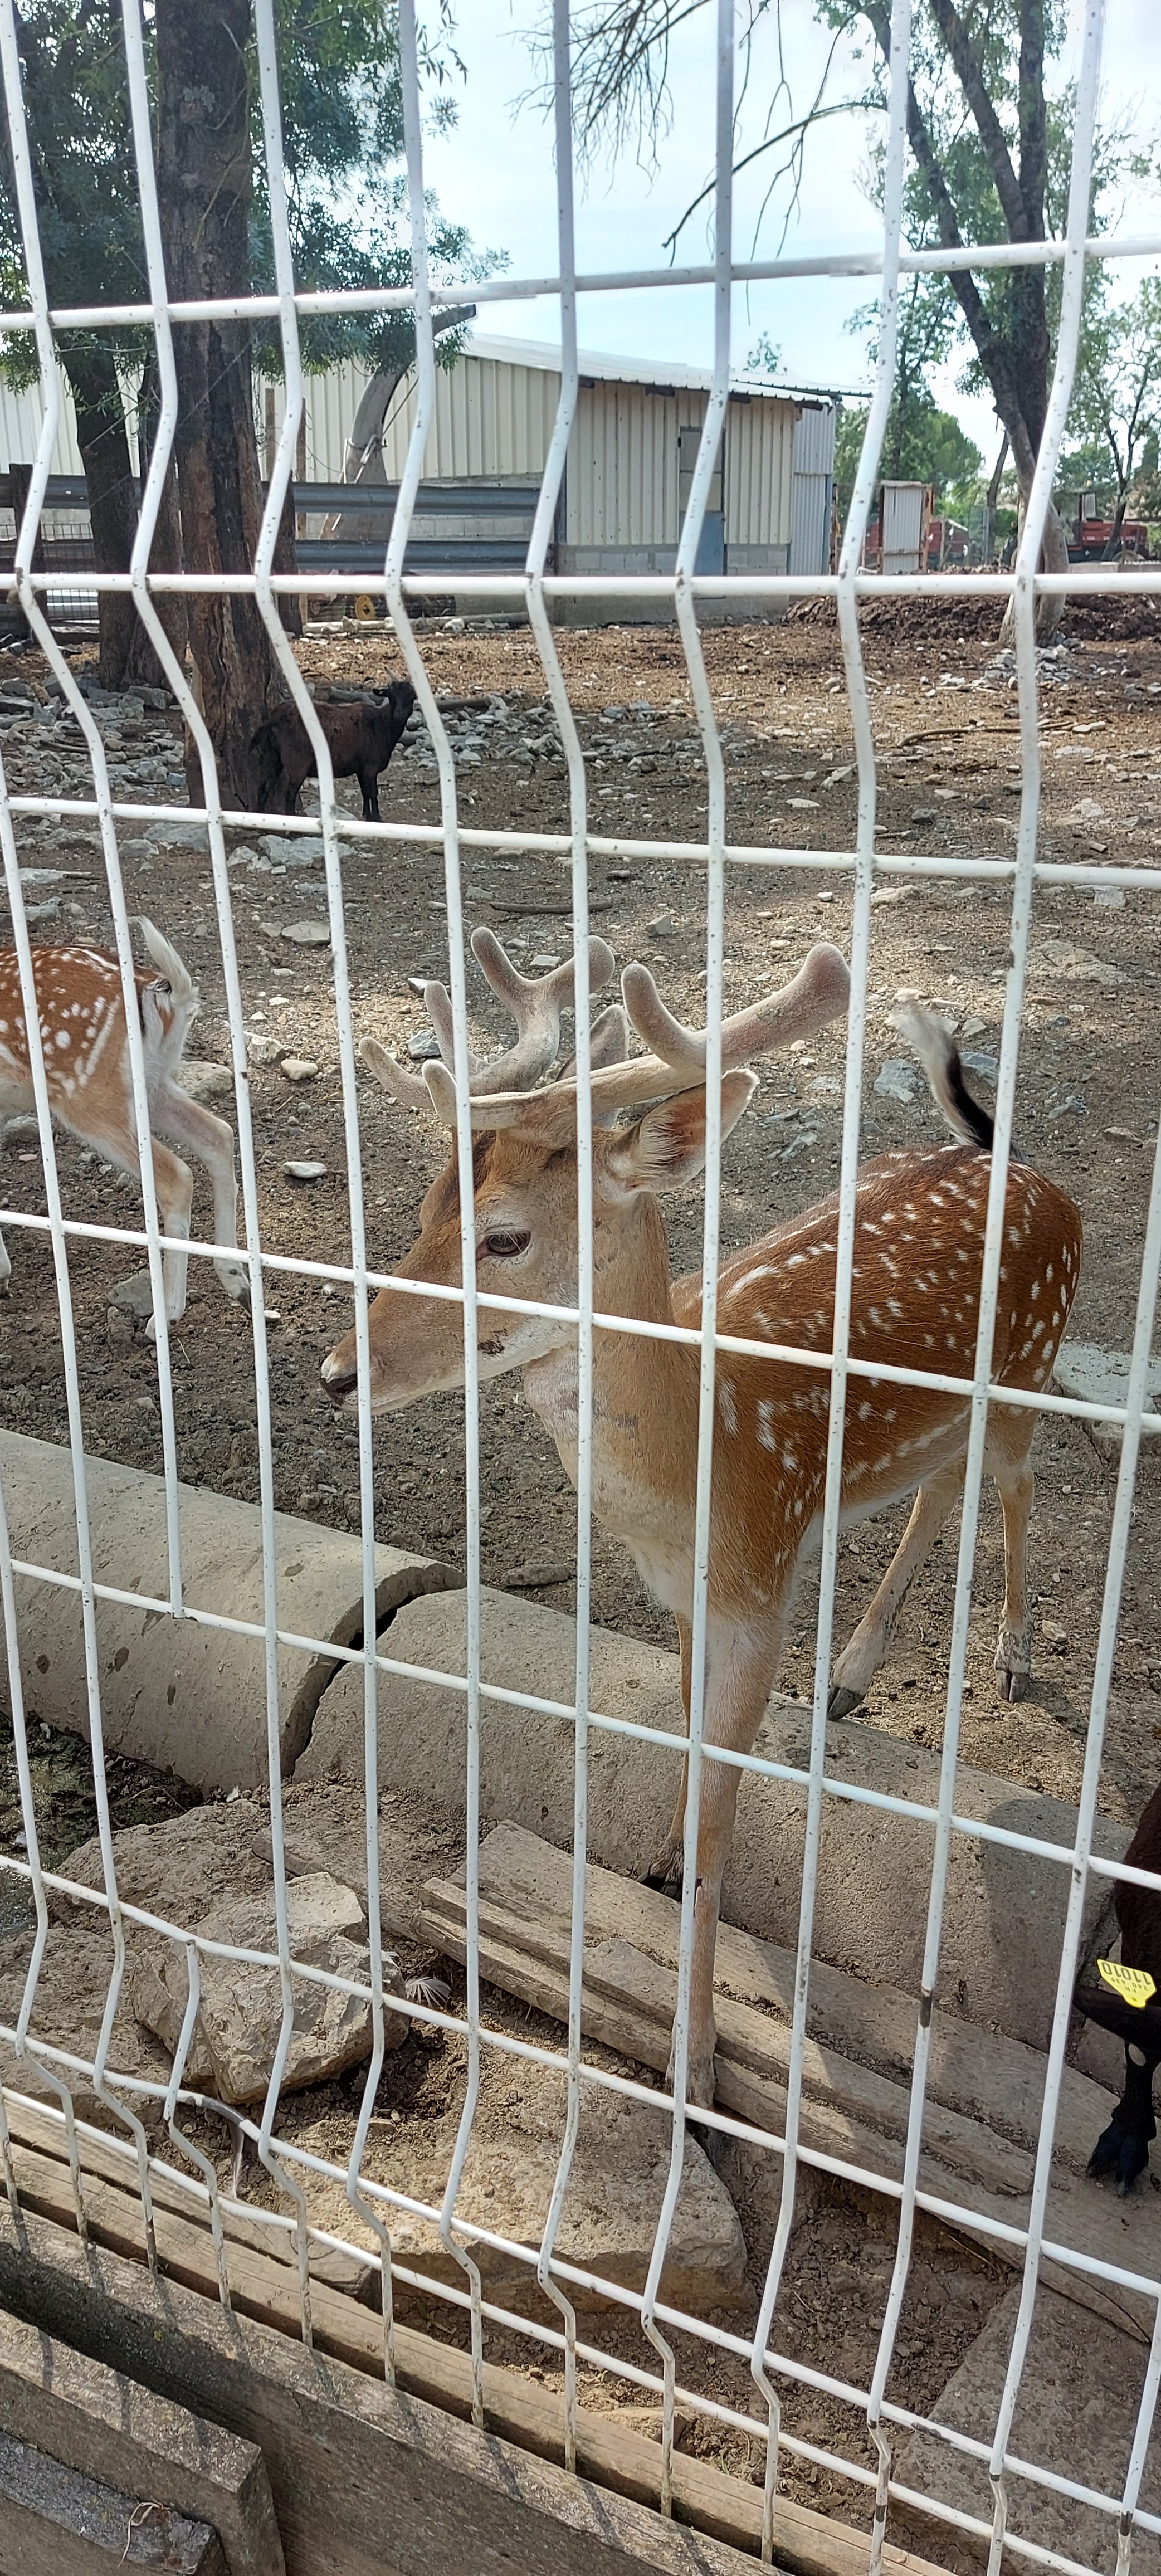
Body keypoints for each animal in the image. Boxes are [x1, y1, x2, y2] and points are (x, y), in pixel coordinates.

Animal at [0, 919, 248, 1333]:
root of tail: (167, 997)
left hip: (87, 1093)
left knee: (176, 1175)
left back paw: (165, 1314)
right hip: (152, 1081)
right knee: (219, 1133)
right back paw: (236, 1279)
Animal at [320, 930, 1083, 2111]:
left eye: (504, 1237)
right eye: (422, 1211)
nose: (336, 1373)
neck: (694, 1461)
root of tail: (1029, 1172)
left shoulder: (758, 1583)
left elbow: (725, 1808)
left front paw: (694, 2054)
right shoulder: (678, 1594)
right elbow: (681, 1756)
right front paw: (665, 1874)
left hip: (1026, 1366)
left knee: (1014, 1482)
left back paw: (1006, 1653)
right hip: (946, 1413)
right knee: (937, 1488)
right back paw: (852, 1673)